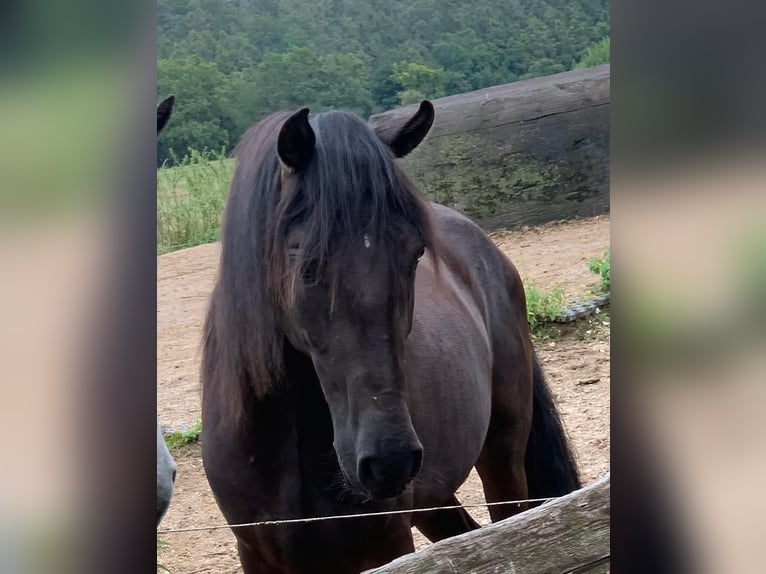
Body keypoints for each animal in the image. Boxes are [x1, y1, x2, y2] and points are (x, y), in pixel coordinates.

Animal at [201, 103, 580, 574]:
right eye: (306, 265)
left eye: (414, 254)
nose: (388, 459)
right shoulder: (257, 555)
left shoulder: (390, 544)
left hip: (502, 454)